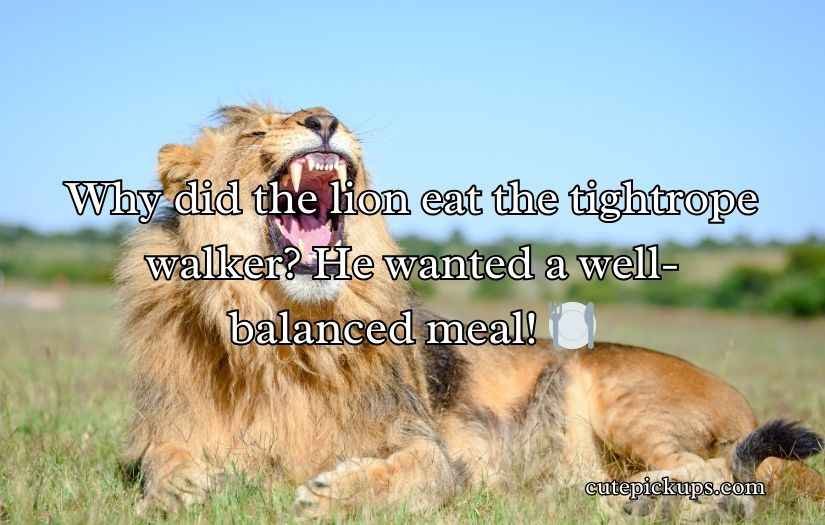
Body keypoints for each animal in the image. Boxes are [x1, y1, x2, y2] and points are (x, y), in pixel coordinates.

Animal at [118, 104, 825, 521]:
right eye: (255, 132)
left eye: (319, 114)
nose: (324, 120)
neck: (286, 330)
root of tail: (743, 405)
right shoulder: (172, 423)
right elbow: (159, 458)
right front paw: (178, 490)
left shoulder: (429, 446)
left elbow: (418, 473)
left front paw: (331, 494)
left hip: (617, 392)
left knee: (719, 473)